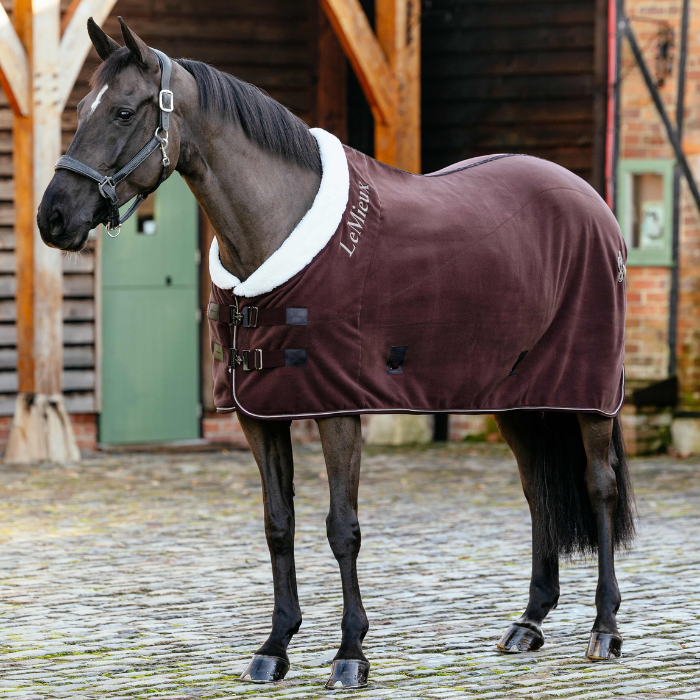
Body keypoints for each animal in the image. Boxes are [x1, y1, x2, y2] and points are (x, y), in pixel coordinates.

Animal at [37, 18, 635, 690]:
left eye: (121, 111)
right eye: (79, 108)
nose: (53, 217)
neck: (277, 232)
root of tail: (594, 204)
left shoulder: (337, 408)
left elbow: (341, 528)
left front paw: (350, 654)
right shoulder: (259, 415)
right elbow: (278, 524)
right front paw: (274, 647)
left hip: (589, 394)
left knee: (599, 486)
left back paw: (605, 630)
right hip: (518, 397)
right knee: (538, 492)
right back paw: (528, 622)